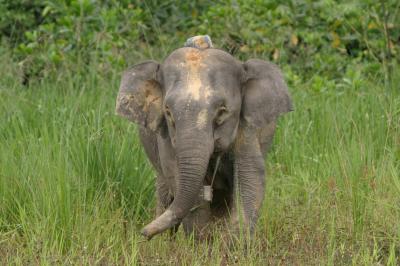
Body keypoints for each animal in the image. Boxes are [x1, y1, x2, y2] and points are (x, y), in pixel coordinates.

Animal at [114, 44, 292, 241]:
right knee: (164, 190)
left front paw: (233, 244)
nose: (143, 233)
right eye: (168, 111)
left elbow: (250, 175)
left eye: (222, 111)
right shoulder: (165, 135)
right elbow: (176, 173)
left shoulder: (247, 127)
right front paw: (202, 243)